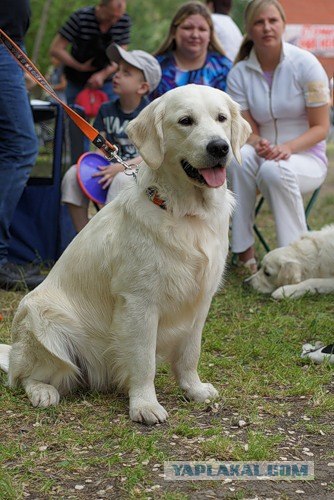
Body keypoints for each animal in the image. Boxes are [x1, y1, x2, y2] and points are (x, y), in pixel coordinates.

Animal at [0, 84, 250, 424]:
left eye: (221, 118)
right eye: (185, 121)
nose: (220, 147)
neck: (185, 213)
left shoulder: (200, 300)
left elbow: (190, 352)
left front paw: (194, 389)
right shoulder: (139, 302)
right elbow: (144, 361)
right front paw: (144, 405)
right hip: (39, 316)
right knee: (23, 376)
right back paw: (42, 391)